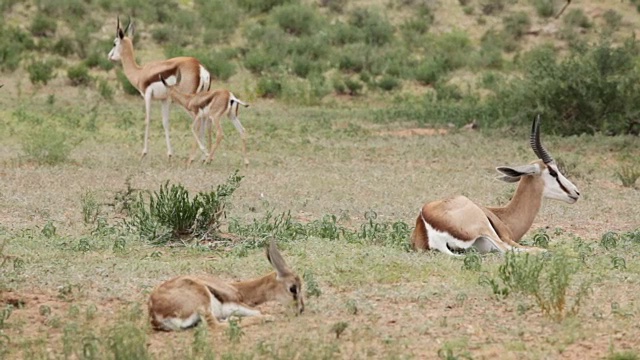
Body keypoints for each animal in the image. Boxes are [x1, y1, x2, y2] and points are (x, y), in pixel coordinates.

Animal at [107, 16, 210, 158]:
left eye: (114, 43)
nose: (109, 56)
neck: (140, 72)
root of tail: (199, 67)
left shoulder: (147, 96)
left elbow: (147, 120)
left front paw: (144, 152)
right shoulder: (164, 99)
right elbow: (165, 122)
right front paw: (170, 154)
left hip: (189, 103)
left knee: (199, 120)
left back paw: (198, 156)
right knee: (206, 119)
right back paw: (204, 157)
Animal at [149, 240, 304, 330]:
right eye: (293, 288)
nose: (301, 310)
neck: (238, 289)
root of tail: (155, 314)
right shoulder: (235, 304)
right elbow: (260, 311)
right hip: (204, 302)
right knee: (216, 325)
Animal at [412, 116, 584, 256]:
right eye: (553, 172)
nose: (576, 193)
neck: (504, 216)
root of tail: (425, 220)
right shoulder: (507, 238)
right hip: (488, 231)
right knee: (514, 250)